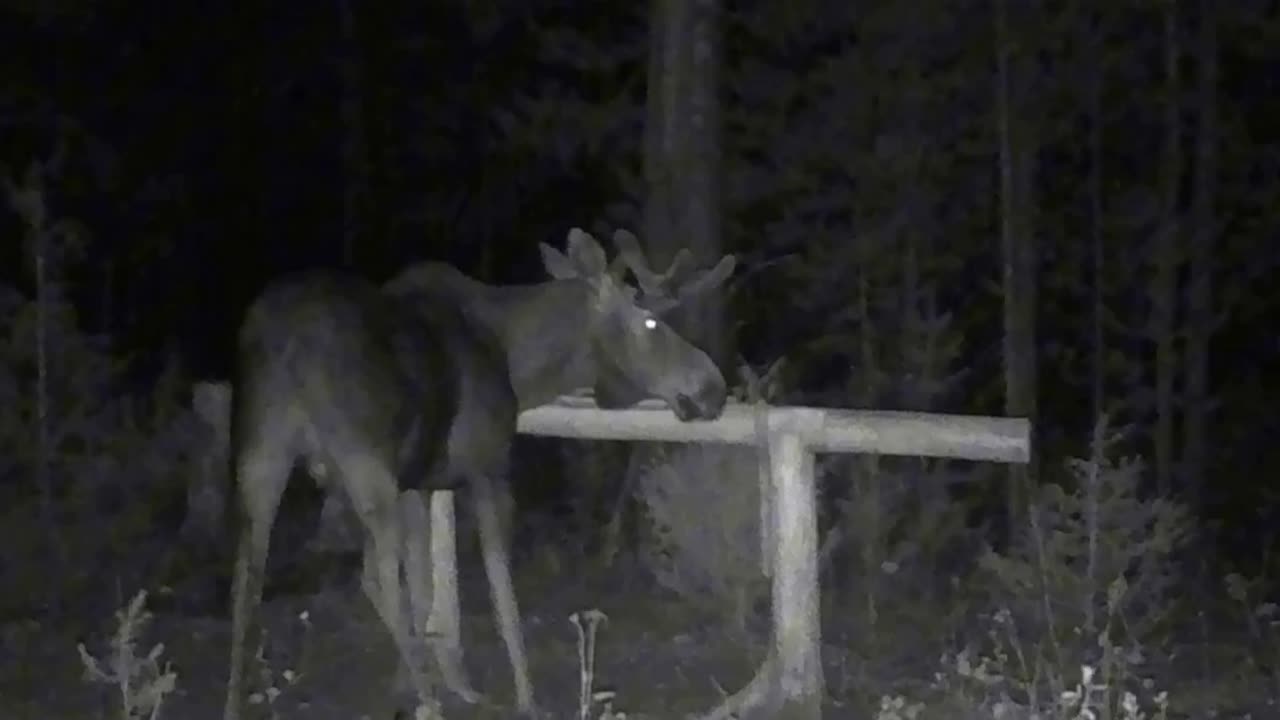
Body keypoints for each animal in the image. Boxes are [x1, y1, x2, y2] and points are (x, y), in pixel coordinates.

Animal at [224, 228, 737, 717]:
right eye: (650, 321)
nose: (713, 387)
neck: (520, 361)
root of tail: (286, 338)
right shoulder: (487, 466)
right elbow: (498, 586)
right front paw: (522, 696)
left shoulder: (419, 482)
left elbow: (424, 589)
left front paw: (435, 684)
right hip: (364, 466)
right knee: (375, 574)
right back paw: (430, 703)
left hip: (260, 457)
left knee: (247, 577)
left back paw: (235, 702)